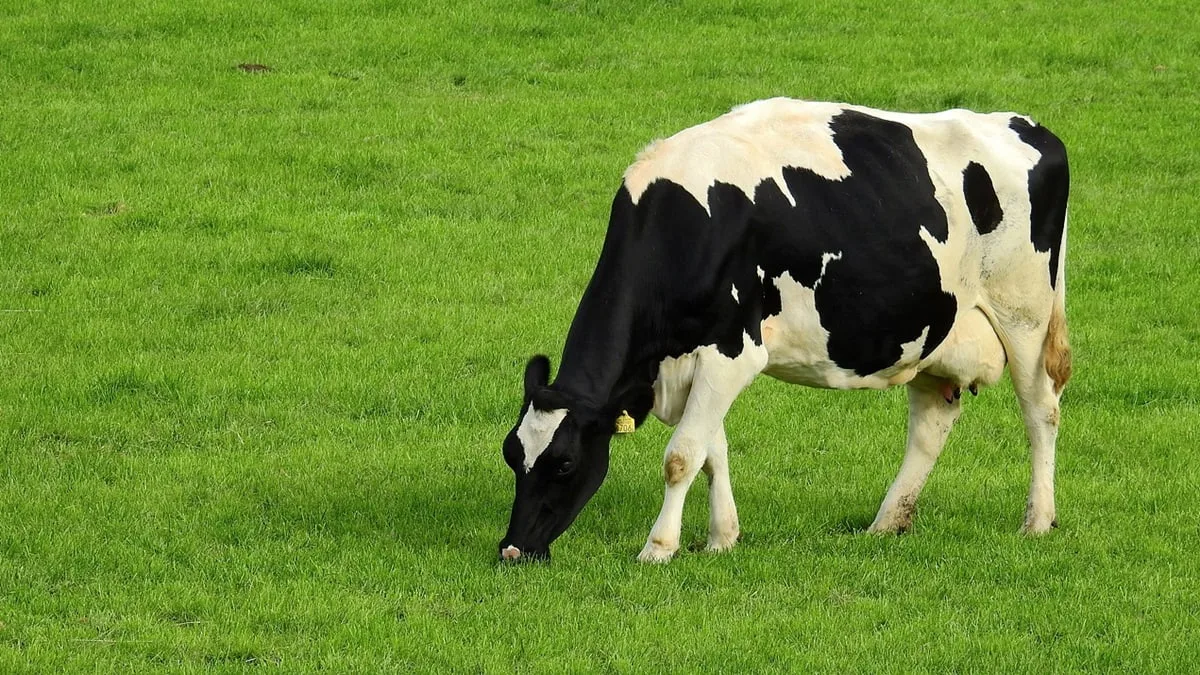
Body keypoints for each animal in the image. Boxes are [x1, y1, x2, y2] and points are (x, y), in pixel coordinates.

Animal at [499, 97, 1071, 563]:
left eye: (565, 464)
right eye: (511, 454)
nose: (512, 549)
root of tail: (1031, 127)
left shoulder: (732, 351)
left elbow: (682, 456)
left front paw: (658, 548)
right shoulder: (699, 358)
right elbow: (711, 451)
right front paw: (721, 538)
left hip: (1024, 314)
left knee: (1040, 409)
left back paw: (1038, 521)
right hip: (935, 331)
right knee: (932, 424)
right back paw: (887, 523)